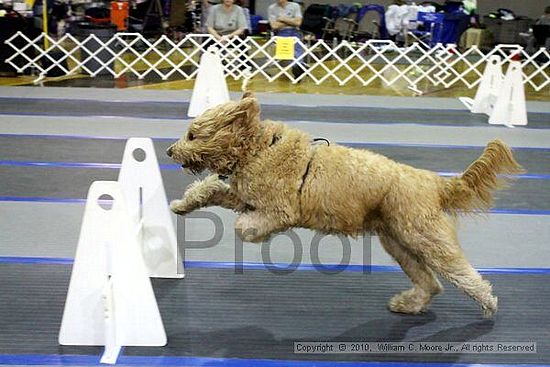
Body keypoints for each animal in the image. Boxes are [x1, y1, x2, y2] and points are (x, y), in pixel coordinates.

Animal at [168, 92, 528, 320]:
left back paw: (488, 304)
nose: (171, 150)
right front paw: (182, 204)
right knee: (431, 283)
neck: (258, 147)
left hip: (428, 239)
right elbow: (211, 188)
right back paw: (409, 304)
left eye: (192, 134)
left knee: (464, 275)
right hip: (399, 244)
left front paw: (250, 231)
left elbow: (249, 223)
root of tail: (434, 182)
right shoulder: (243, 195)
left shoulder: (279, 209)